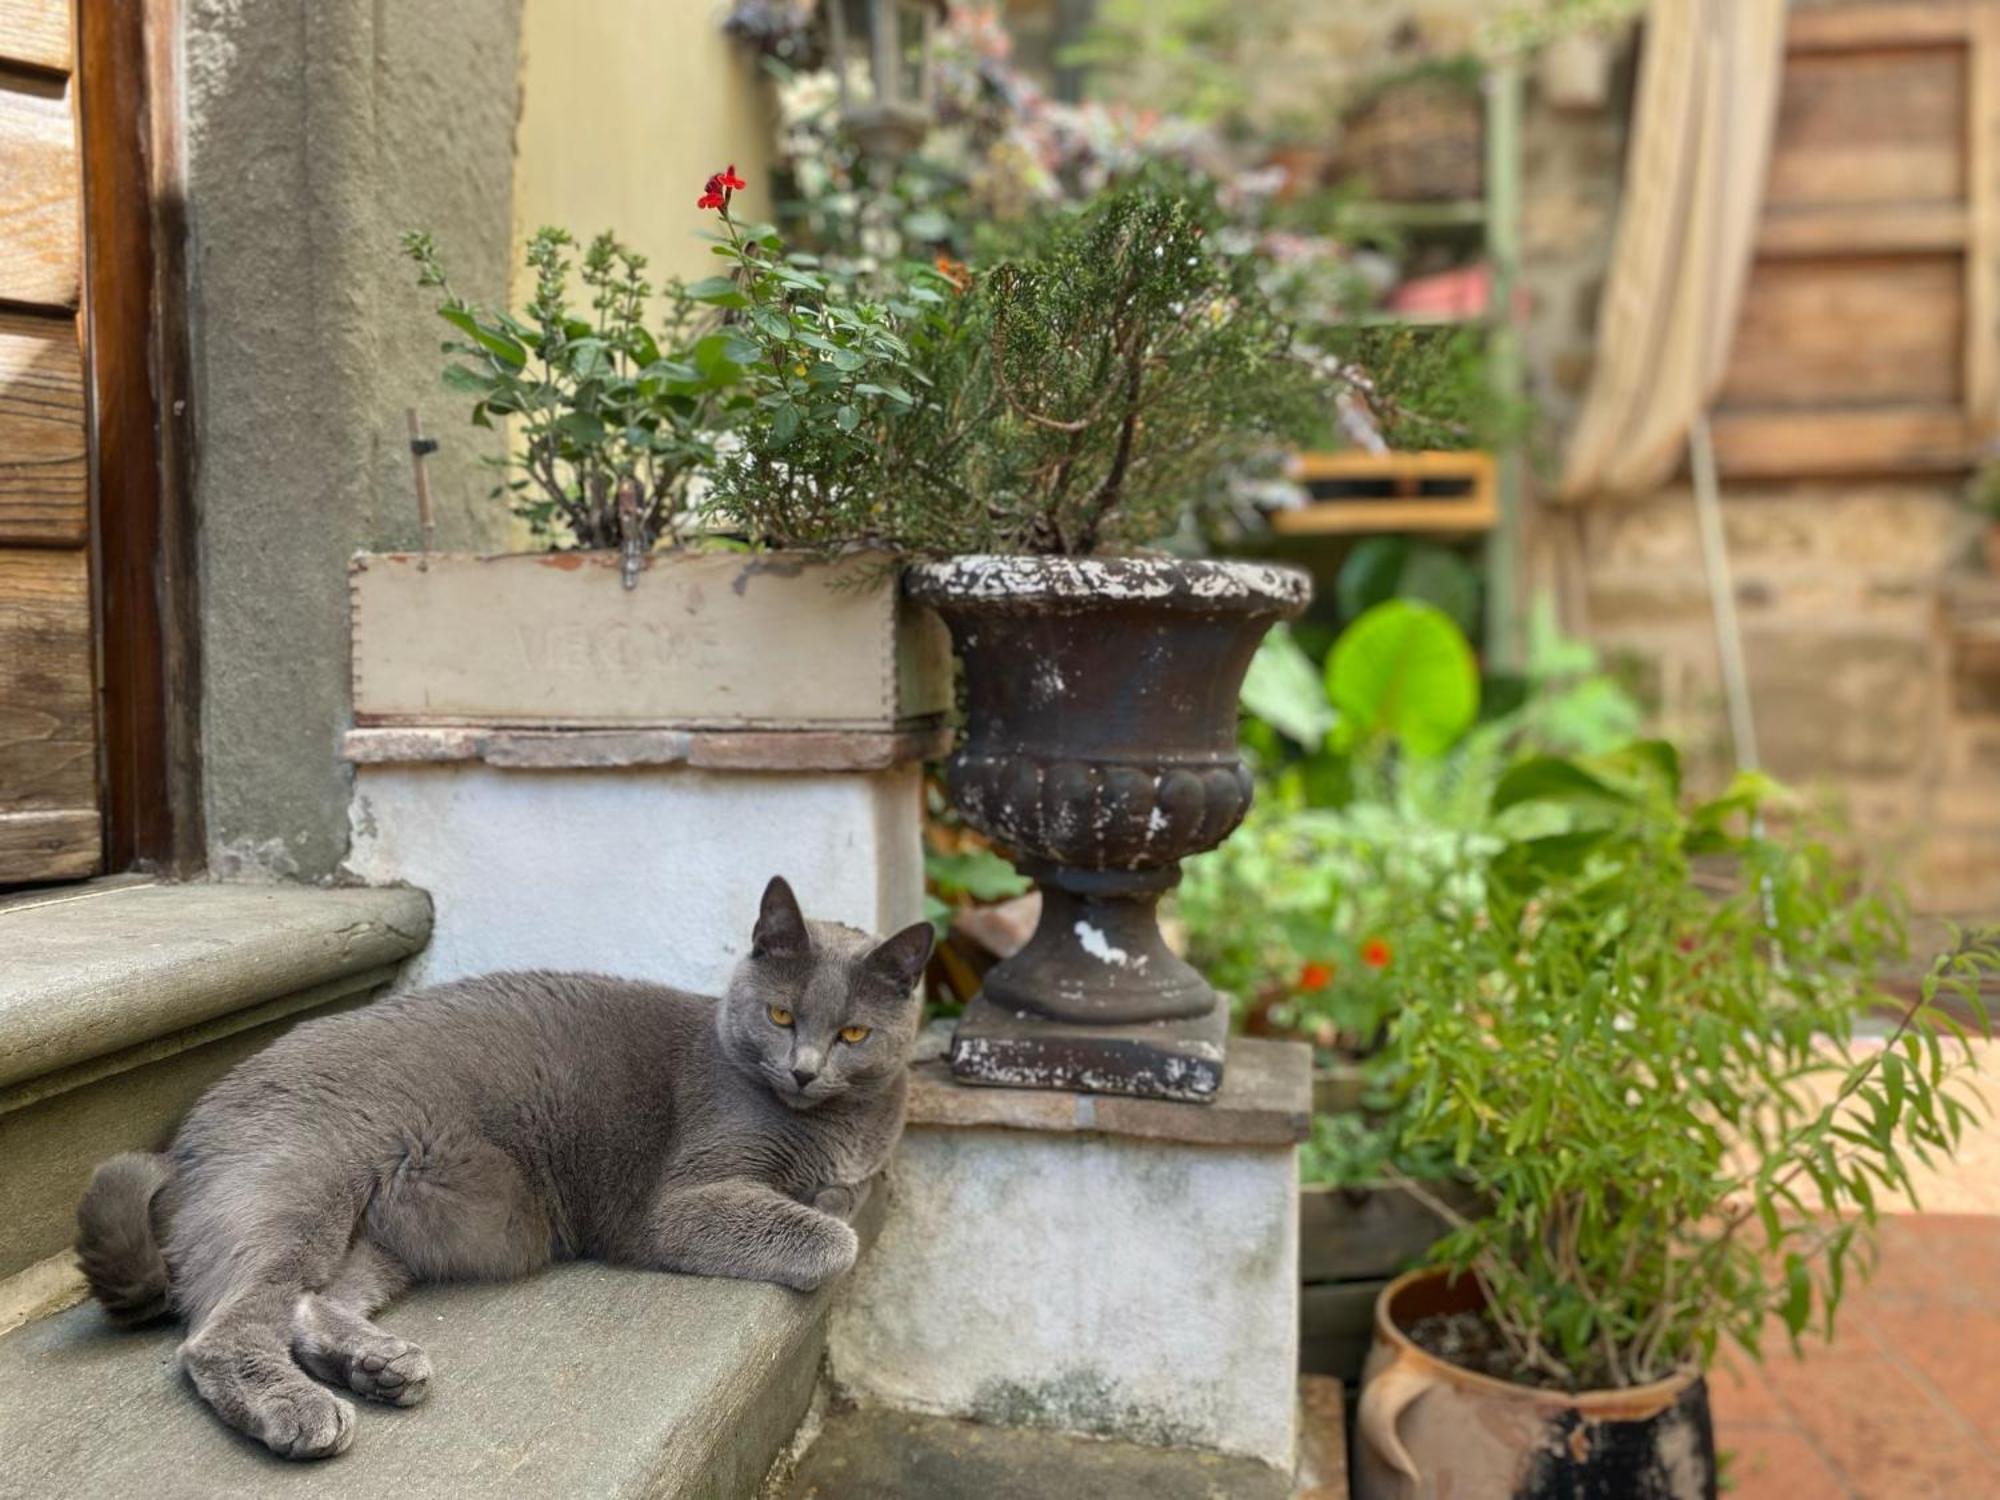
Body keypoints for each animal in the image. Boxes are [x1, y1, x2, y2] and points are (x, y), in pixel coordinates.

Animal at [70, 876, 928, 1464]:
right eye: (782, 1016)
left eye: (853, 1033)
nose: (806, 1070)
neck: (833, 1123)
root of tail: (195, 1126)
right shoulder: (685, 1198)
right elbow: (833, 1236)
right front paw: (826, 1215)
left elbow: (846, 1196)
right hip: (301, 1191)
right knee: (222, 1330)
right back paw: (302, 1410)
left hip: (383, 1236)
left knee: (308, 1305)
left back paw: (381, 1367)